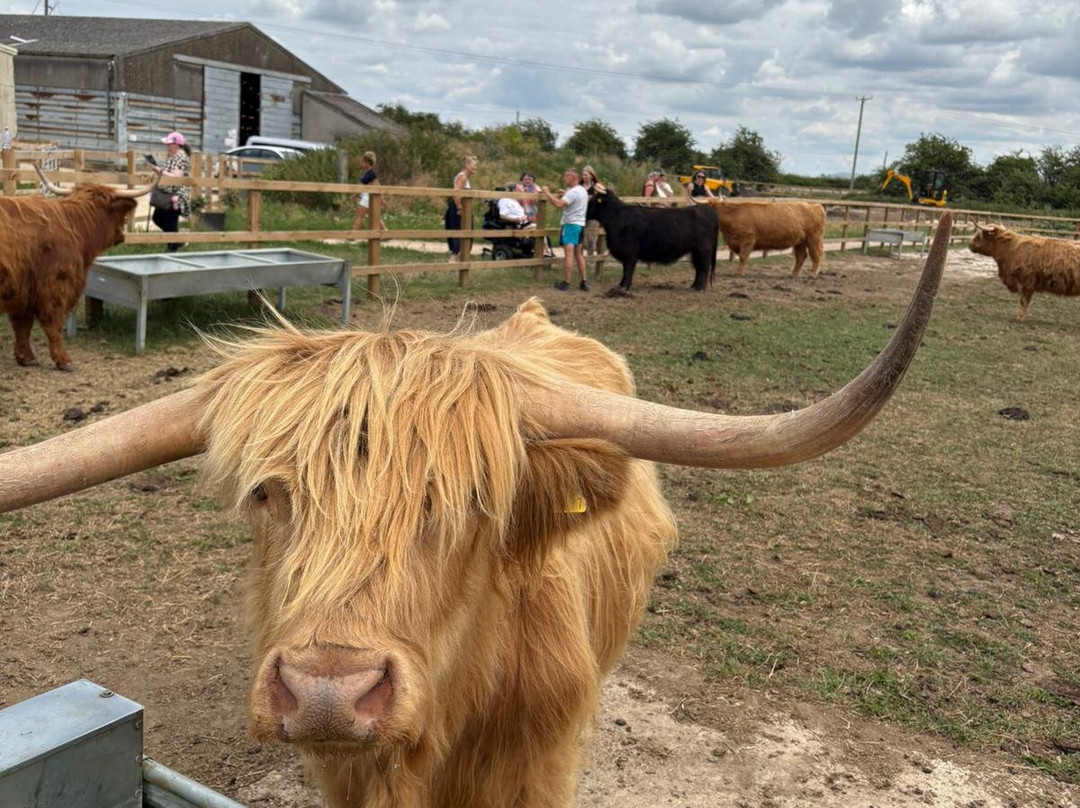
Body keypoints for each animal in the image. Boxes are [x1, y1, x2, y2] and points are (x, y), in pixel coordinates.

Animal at [0, 165, 156, 370]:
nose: (122, 236)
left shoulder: (23, 291)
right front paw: (64, 360)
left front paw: (26, 357)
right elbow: (53, 324)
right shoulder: (55, 286)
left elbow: (22, 326)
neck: (73, 225)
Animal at [586, 188, 718, 291]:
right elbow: (625, 270)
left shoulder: (629, 252)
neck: (617, 216)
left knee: (704, 267)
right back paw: (694, 286)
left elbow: (628, 269)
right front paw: (621, 285)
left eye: (592, 201)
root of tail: (706, 209)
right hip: (696, 251)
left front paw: (624, 287)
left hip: (703, 249)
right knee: (699, 267)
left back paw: (700, 288)